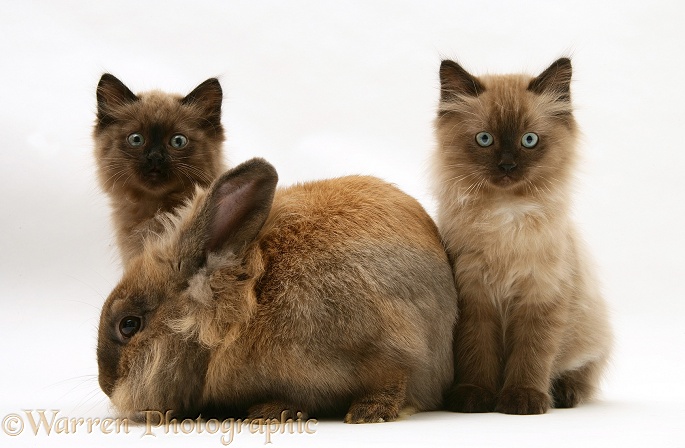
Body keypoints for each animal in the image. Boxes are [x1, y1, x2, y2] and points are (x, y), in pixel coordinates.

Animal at [430, 57, 612, 414]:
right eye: (484, 139)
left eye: (529, 140)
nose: (507, 166)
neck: (506, 217)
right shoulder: (476, 298)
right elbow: (478, 353)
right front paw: (475, 396)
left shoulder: (540, 297)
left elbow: (532, 355)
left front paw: (523, 399)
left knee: (584, 373)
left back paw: (564, 394)